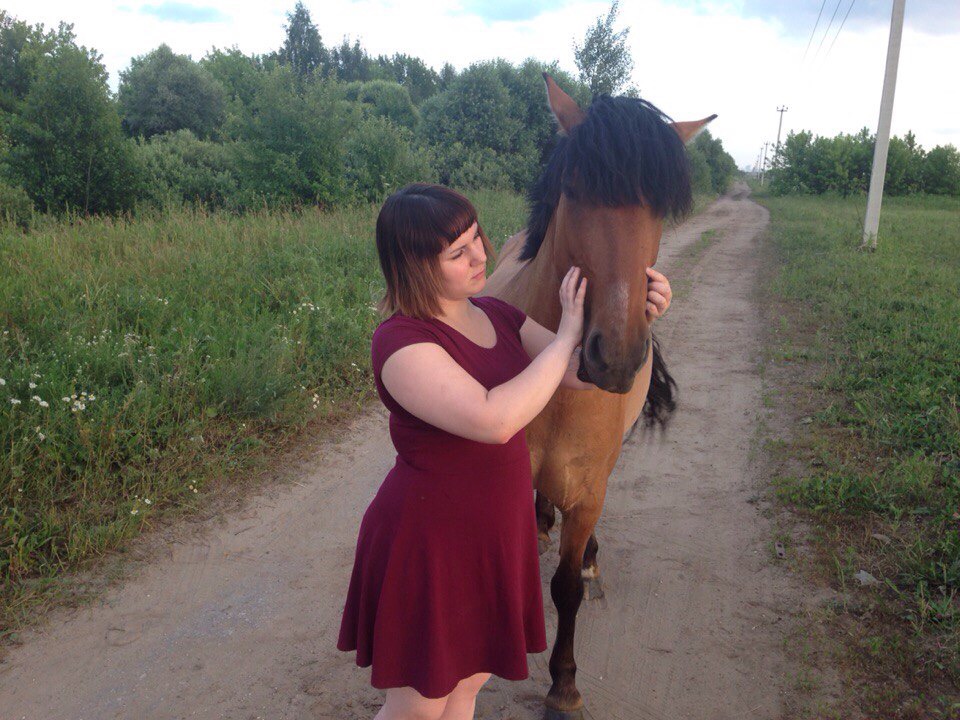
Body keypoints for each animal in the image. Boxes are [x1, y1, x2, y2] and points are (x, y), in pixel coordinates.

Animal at [479, 74, 715, 719]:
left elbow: (564, 589)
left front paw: (563, 686)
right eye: (575, 189)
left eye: (660, 204)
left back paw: (587, 558)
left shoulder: (588, 490)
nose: (615, 356)